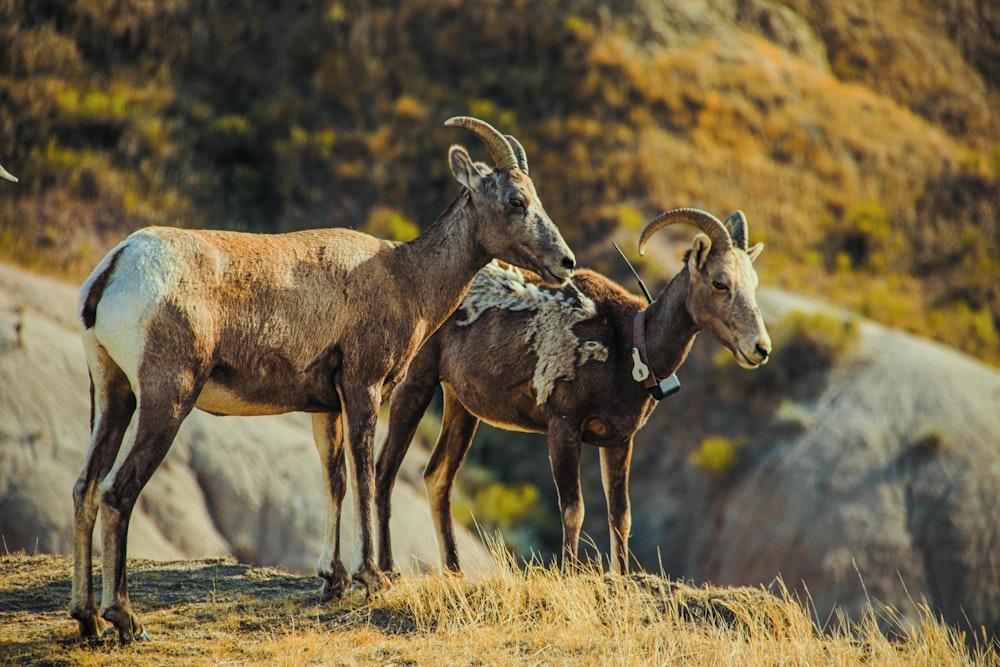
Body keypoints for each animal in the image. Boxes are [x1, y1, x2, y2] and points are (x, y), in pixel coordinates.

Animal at [70, 117, 576, 644]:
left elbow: (334, 481)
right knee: (116, 492)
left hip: (112, 394)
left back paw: (87, 619)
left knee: (85, 486)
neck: (406, 279)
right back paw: (126, 620)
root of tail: (116, 267)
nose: (565, 262)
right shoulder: (362, 388)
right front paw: (373, 577)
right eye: (515, 201)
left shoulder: (325, 408)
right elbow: (365, 475)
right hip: (166, 400)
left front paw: (333, 580)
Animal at [376, 210, 772, 580]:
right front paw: (568, 573)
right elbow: (573, 509)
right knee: (385, 468)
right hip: (416, 383)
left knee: (438, 477)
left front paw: (620, 576)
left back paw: (455, 571)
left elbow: (620, 514)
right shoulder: (563, 428)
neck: (629, 348)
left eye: (754, 282)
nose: (760, 348)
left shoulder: (618, 441)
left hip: (461, 406)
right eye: (720, 282)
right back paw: (385, 568)